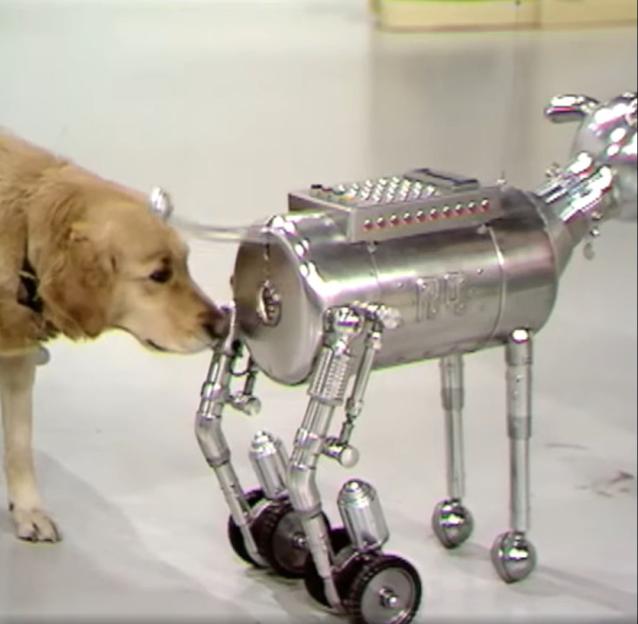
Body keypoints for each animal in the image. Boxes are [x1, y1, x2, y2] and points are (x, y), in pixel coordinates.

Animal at [159, 94, 636, 624]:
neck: (558, 216)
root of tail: (267, 253)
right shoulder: (521, 335)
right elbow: (519, 426)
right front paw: (516, 548)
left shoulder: (455, 346)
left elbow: (454, 402)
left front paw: (456, 516)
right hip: (343, 341)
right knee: (300, 463)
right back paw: (354, 580)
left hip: (248, 332)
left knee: (212, 429)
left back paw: (270, 540)